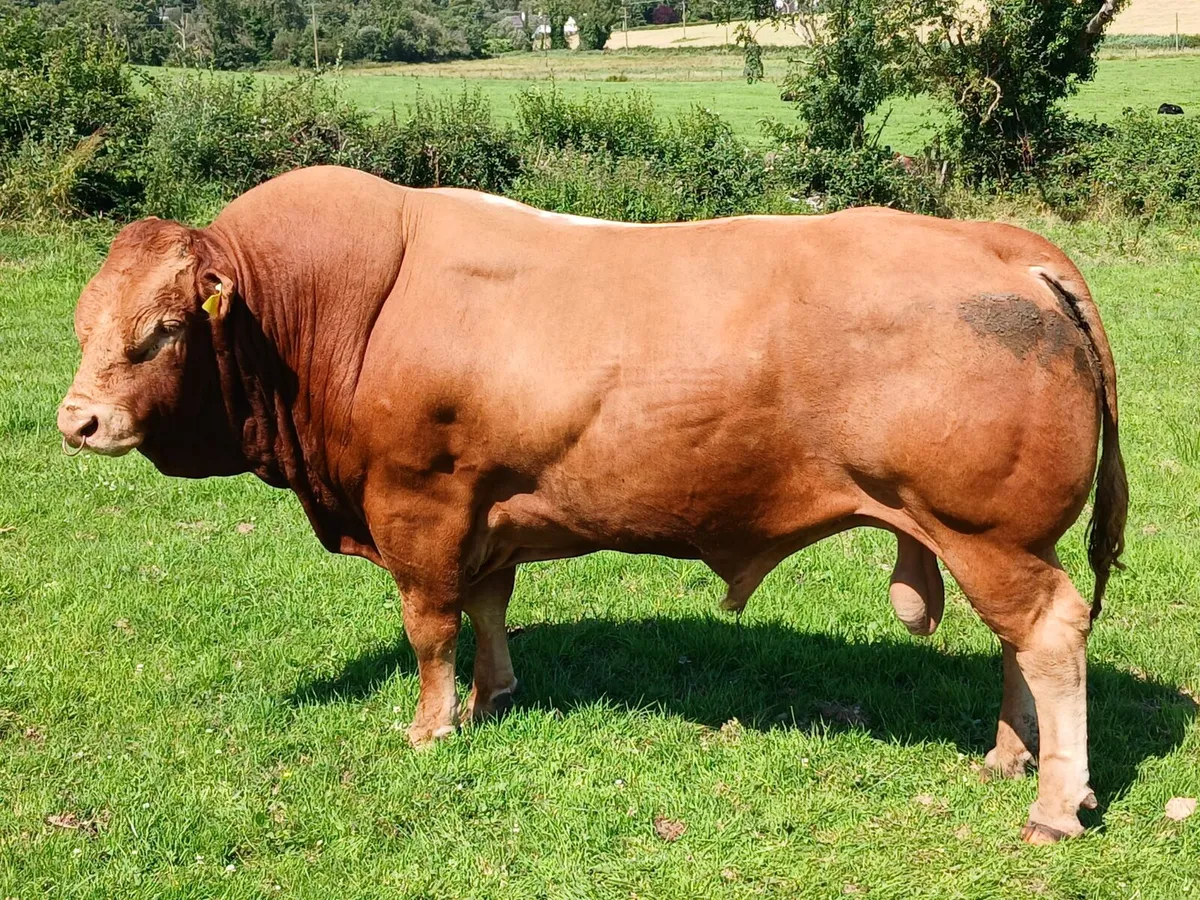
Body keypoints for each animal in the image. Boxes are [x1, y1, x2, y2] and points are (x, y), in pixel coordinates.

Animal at [58, 165, 1127, 843]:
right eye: (82, 325)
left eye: (162, 331)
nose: (79, 420)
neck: (341, 311)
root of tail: (1003, 246)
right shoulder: (486, 511)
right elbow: (489, 608)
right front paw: (493, 698)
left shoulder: (418, 506)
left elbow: (429, 627)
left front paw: (431, 727)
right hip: (995, 540)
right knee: (1017, 646)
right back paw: (1006, 758)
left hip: (990, 535)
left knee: (1049, 637)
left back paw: (1053, 804)